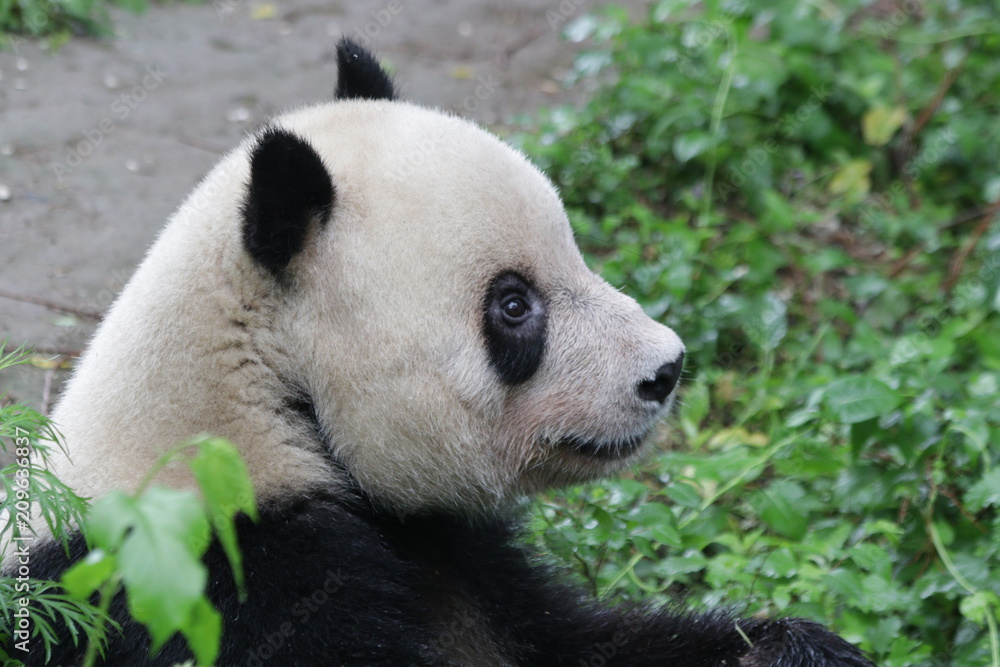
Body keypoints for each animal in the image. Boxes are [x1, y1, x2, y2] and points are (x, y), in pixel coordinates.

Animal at [5, 40, 875, 667]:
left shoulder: (447, 551)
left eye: (575, 251)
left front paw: (801, 649)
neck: (256, 401)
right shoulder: (214, 578)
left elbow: (572, 644)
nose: (665, 369)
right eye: (514, 305)